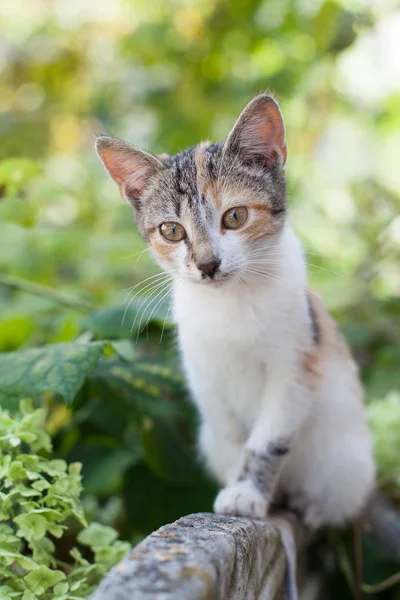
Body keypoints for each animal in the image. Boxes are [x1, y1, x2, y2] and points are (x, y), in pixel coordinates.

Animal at [96, 94, 376, 528]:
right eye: (172, 231)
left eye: (235, 216)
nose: (208, 264)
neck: (232, 302)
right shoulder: (205, 375)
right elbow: (231, 439)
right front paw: (233, 490)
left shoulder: (296, 366)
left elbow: (268, 439)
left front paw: (246, 492)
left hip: (346, 457)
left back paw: (309, 507)